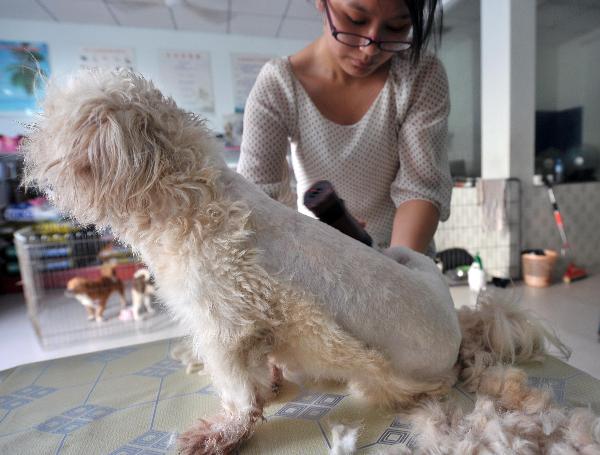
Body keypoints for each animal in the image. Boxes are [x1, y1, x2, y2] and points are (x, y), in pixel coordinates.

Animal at [19, 69, 564, 454]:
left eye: (56, 123)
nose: (26, 140)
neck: (197, 205)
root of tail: (458, 328)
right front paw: (270, 383)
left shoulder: (223, 325)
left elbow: (239, 393)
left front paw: (220, 433)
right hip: (407, 256)